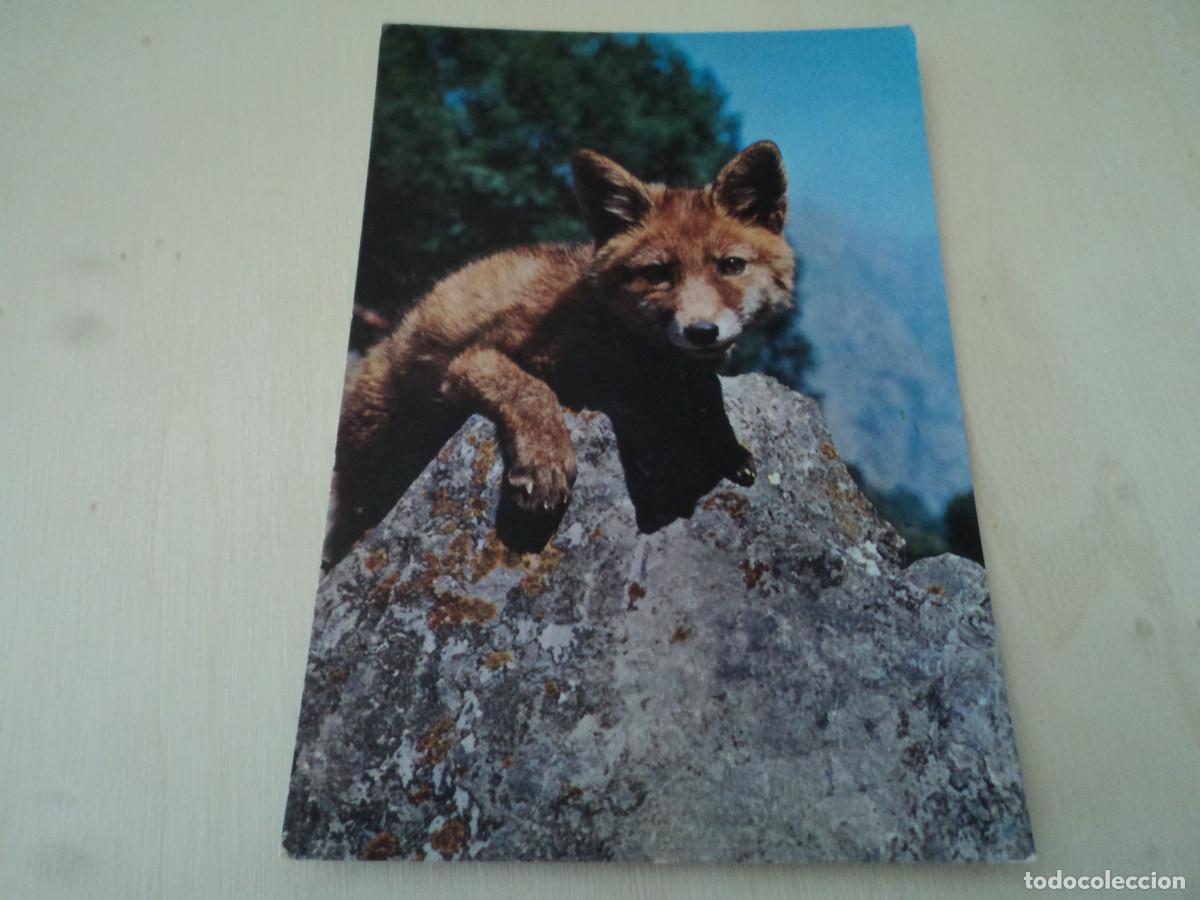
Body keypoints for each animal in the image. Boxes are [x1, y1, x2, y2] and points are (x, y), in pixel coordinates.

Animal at [322, 141, 796, 570]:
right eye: (657, 273)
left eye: (731, 266)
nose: (701, 332)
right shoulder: (473, 360)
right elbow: (533, 393)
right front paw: (545, 466)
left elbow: (707, 392)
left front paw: (726, 444)